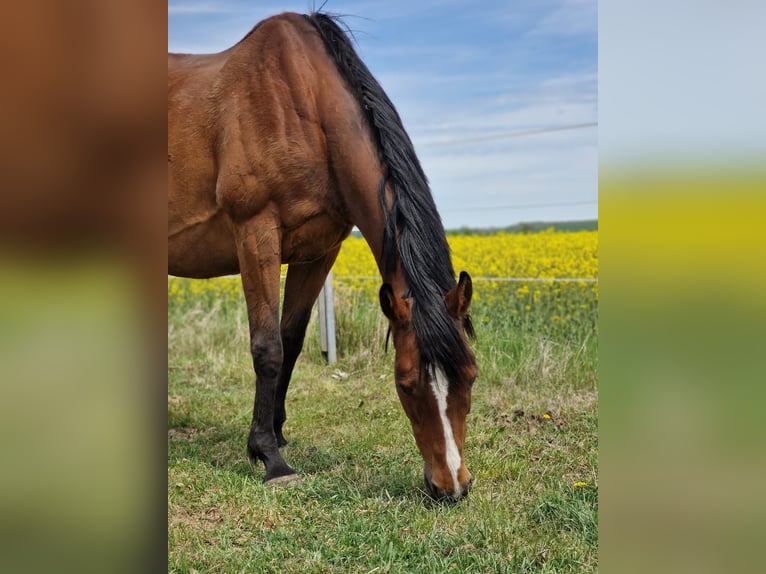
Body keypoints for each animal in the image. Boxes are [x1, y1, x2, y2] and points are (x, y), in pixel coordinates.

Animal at [168, 12, 478, 501]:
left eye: (470, 375)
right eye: (405, 384)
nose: (452, 486)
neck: (303, 108)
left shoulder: (319, 253)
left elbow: (291, 341)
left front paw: (273, 435)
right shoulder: (255, 234)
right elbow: (267, 347)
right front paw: (271, 459)